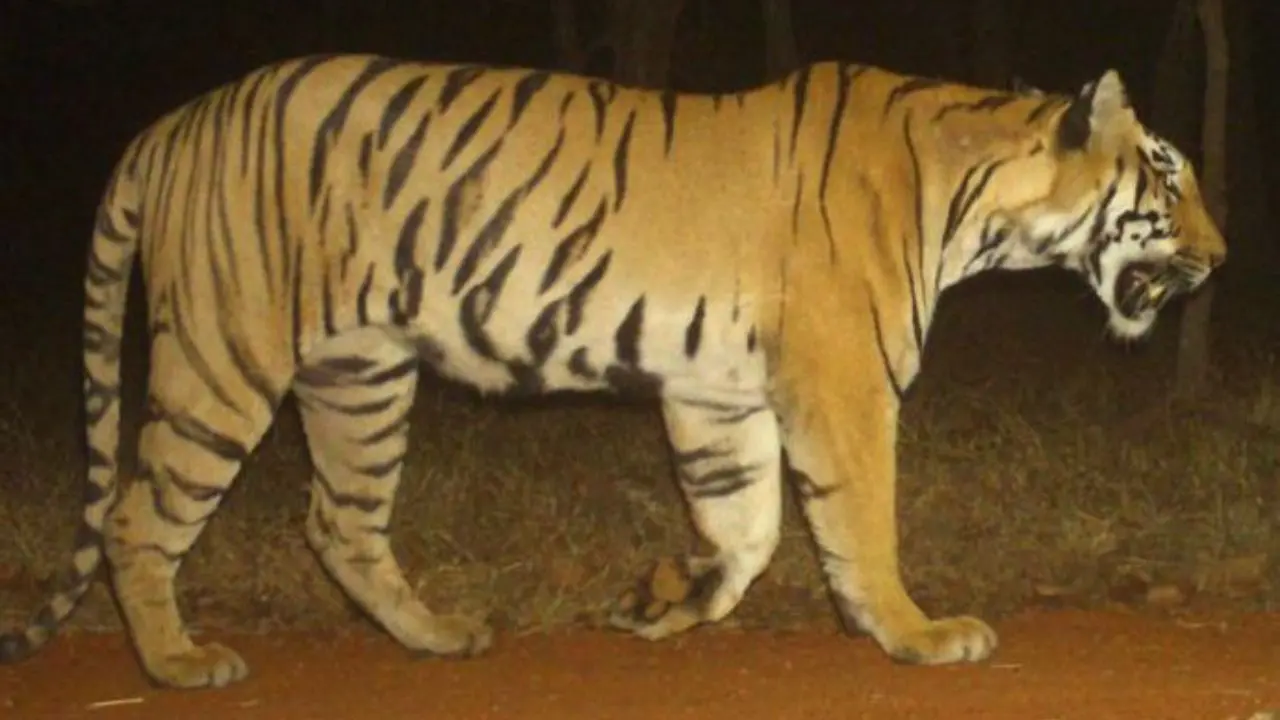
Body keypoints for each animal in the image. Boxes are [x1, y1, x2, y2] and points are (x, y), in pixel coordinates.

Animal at [0, 54, 1225, 689]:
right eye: (1167, 178)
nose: (1220, 260)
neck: (981, 205)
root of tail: (171, 123)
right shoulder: (841, 384)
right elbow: (859, 522)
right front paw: (917, 635)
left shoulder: (715, 392)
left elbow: (747, 529)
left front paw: (660, 602)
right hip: (225, 357)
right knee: (138, 516)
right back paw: (178, 661)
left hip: (359, 378)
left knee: (336, 521)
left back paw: (437, 638)